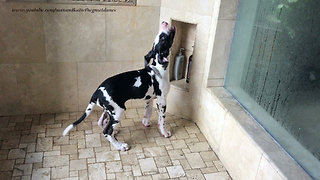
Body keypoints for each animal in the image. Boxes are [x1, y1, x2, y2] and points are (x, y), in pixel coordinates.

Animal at [62, 20, 176, 150]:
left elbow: (148, 112)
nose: (164, 22)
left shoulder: (150, 99)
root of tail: (97, 92)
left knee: (102, 123)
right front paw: (164, 132)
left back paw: (115, 132)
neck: (158, 68)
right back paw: (120, 146)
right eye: (163, 38)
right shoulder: (162, 101)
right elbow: (162, 119)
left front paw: (146, 123)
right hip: (119, 111)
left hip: (109, 110)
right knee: (106, 131)